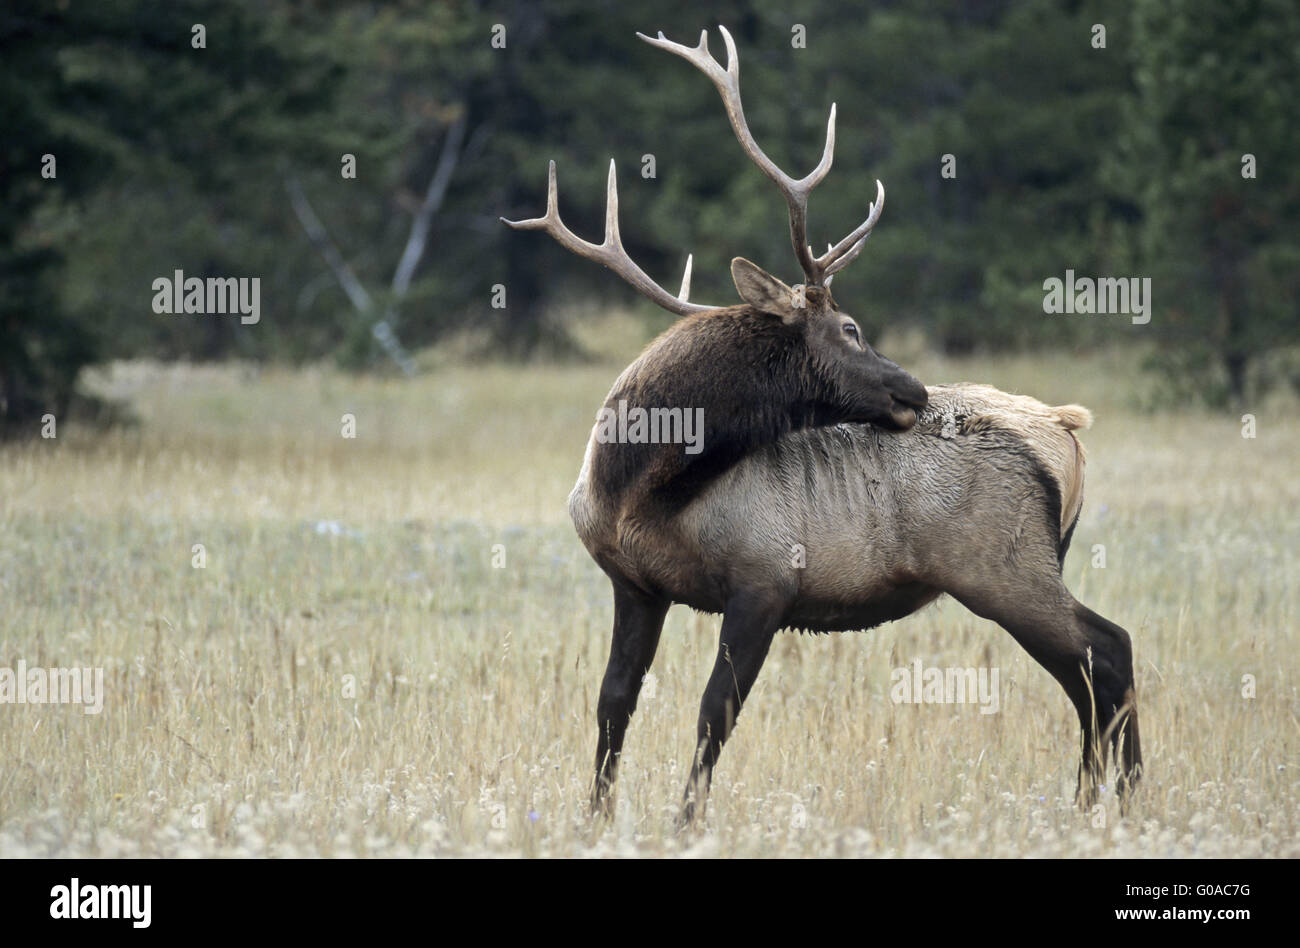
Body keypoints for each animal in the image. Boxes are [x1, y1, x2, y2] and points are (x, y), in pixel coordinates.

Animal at [502, 26, 1141, 827]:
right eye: (852, 327)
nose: (914, 388)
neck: (634, 489)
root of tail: (1065, 427)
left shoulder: (766, 578)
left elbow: (714, 712)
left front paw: (685, 823)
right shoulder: (635, 584)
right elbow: (613, 702)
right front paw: (596, 818)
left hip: (1006, 566)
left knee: (1109, 650)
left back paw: (1126, 801)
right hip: (1022, 569)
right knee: (1087, 674)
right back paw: (1092, 805)